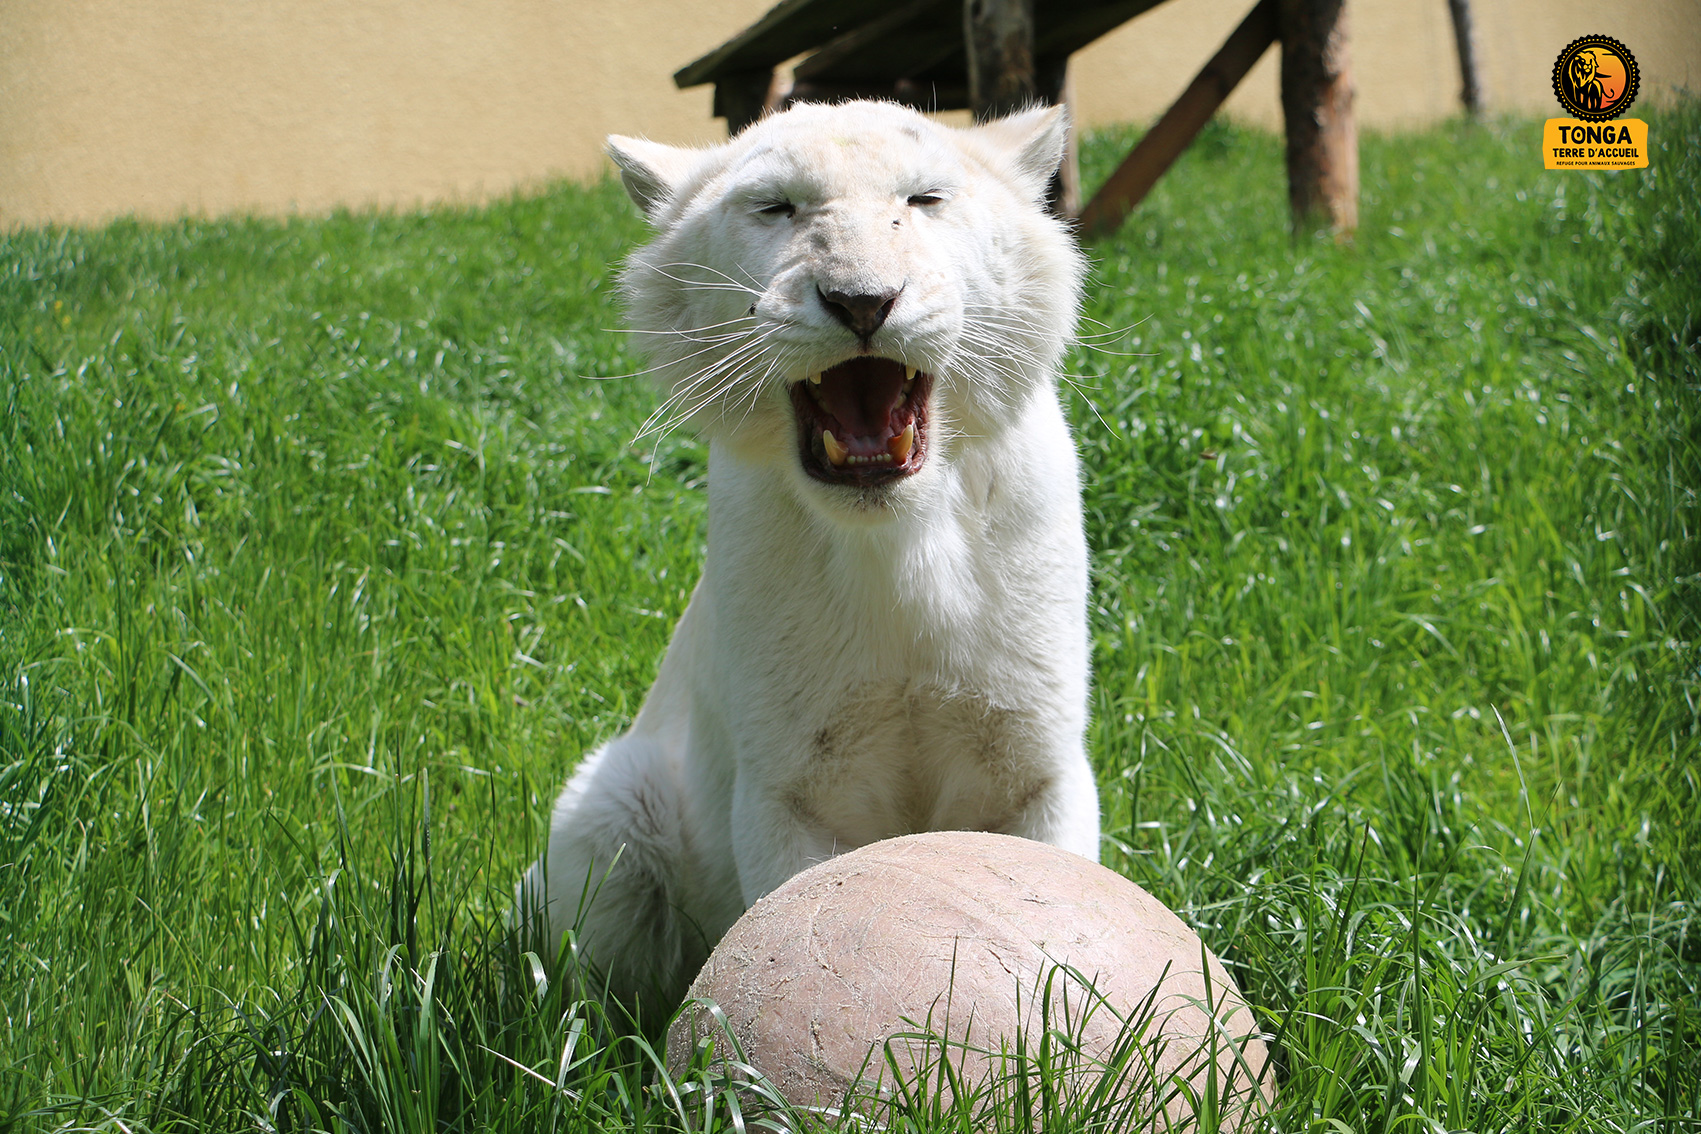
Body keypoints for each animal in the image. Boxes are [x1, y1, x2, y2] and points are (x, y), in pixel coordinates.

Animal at [518, 100, 1100, 1021]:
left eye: (924, 198)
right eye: (775, 208)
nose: (862, 302)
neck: (895, 544)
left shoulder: (1035, 766)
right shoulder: (789, 788)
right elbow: (792, 912)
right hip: (608, 805)